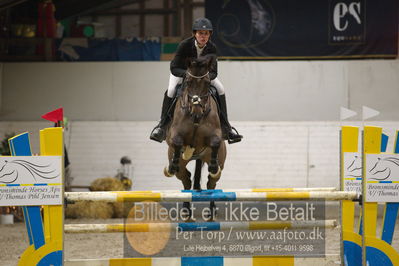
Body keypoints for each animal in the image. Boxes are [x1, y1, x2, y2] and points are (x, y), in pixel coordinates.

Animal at [164, 55, 227, 219]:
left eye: (207, 83)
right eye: (188, 82)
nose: (197, 111)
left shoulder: (216, 134)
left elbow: (215, 141)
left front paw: (213, 166)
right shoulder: (174, 134)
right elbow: (177, 141)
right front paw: (172, 165)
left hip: (216, 163)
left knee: (211, 183)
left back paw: (211, 212)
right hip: (181, 165)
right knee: (186, 180)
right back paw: (186, 211)